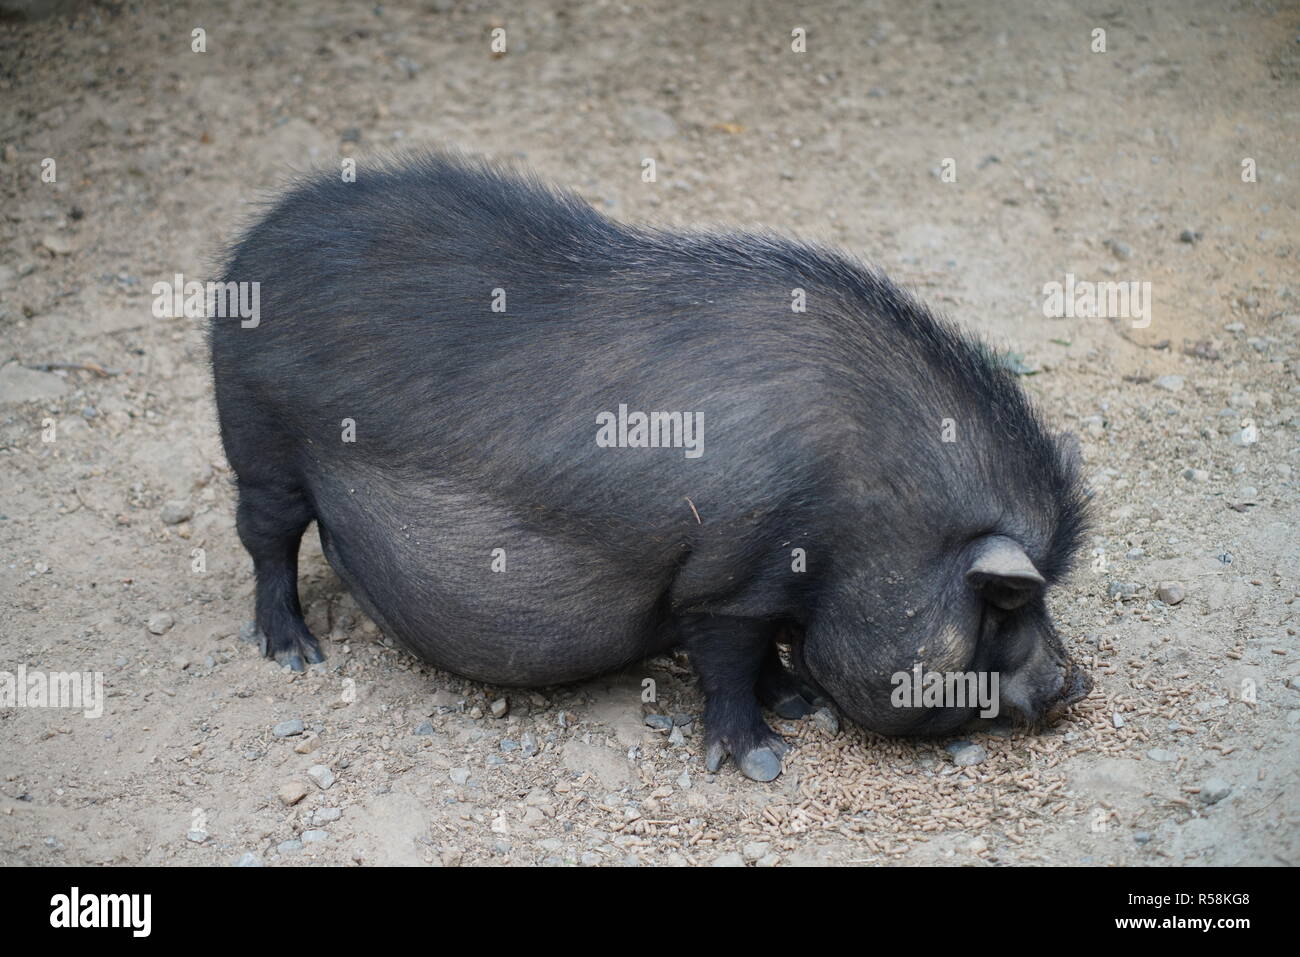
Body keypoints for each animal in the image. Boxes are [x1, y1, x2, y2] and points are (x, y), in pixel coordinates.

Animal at [210, 153, 1086, 780]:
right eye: (1006, 602)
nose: (1075, 683)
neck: (865, 521)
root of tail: (247, 252)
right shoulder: (725, 582)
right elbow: (729, 663)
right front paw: (762, 761)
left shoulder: (770, 588)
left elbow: (772, 652)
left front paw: (802, 704)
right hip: (259, 440)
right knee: (266, 539)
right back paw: (295, 651)